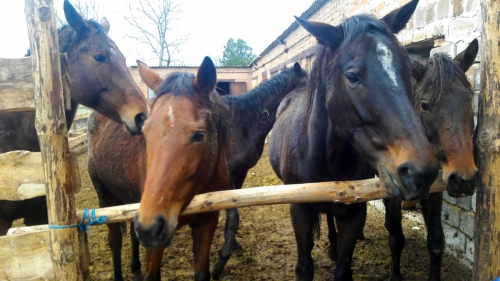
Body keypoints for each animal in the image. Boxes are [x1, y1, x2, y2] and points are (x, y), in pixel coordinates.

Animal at [211, 61, 308, 278]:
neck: (240, 121)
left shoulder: (240, 174)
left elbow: (232, 215)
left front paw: (232, 245)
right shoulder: (228, 177)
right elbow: (233, 216)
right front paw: (220, 262)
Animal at [268, 1, 440, 278]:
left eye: (408, 68)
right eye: (352, 77)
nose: (421, 172)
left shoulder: (354, 213)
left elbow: (342, 269)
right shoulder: (299, 211)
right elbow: (304, 268)